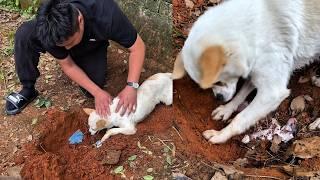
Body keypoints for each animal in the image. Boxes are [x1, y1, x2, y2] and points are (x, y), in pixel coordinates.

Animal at [172, 0, 320, 143]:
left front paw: (220, 135)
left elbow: (240, 118)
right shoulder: (254, 72)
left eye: (218, 82)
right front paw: (226, 109)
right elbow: (239, 95)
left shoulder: (272, 93)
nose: (218, 98)